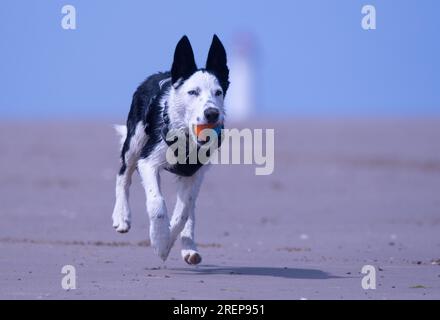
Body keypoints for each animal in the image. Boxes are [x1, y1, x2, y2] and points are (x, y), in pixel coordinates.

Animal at [111, 35, 230, 264]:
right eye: (193, 92)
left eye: (218, 92)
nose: (212, 113)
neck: (184, 136)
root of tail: (158, 75)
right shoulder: (147, 162)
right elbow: (157, 203)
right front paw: (159, 241)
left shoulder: (194, 173)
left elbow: (183, 212)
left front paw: (168, 240)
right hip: (135, 142)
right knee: (123, 175)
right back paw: (121, 216)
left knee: (190, 208)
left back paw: (189, 247)